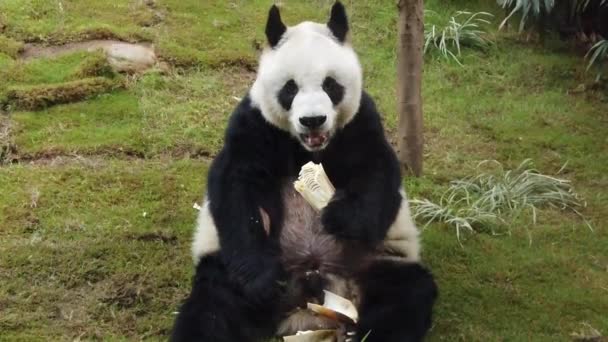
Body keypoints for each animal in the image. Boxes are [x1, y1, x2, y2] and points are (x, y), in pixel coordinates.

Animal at [171, 2, 436, 342]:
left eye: (330, 85)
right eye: (290, 88)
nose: (313, 120)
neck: (308, 147)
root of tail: (308, 306)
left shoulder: (361, 122)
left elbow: (376, 175)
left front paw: (336, 218)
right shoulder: (255, 122)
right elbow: (236, 186)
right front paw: (264, 280)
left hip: (379, 261)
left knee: (405, 296)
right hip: (226, 267)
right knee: (214, 307)